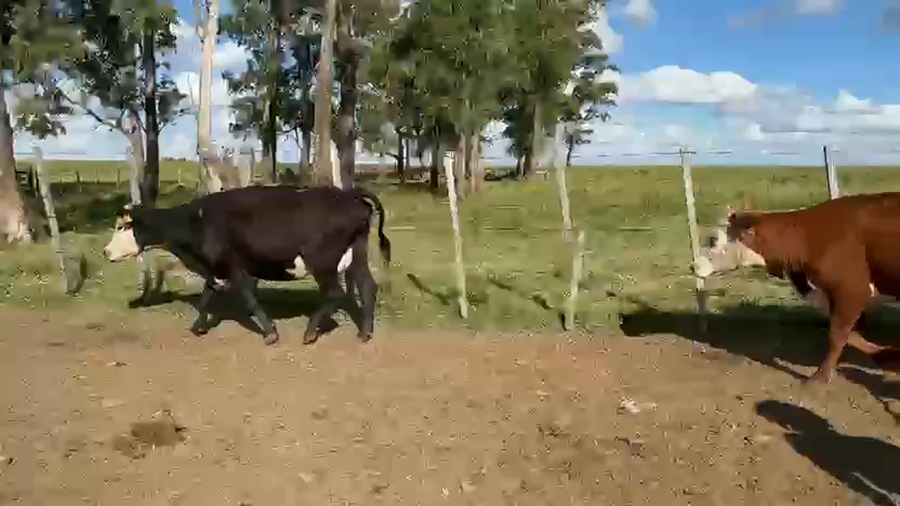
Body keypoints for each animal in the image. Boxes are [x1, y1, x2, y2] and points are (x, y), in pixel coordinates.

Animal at [102, 184, 391, 346]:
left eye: (122, 227)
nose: (105, 252)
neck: (197, 220)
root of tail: (348, 195)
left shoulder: (234, 267)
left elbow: (248, 298)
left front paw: (270, 334)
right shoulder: (216, 268)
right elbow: (207, 295)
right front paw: (198, 327)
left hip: (322, 261)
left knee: (334, 292)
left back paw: (310, 333)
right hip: (356, 256)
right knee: (367, 287)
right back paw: (364, 334)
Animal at [690, 192, 900, 385]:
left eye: (713, 239)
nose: (693, 266)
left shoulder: (852, 290)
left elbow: (838, 335)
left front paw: (820, 377)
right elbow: (852, 335)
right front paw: (886, 354)